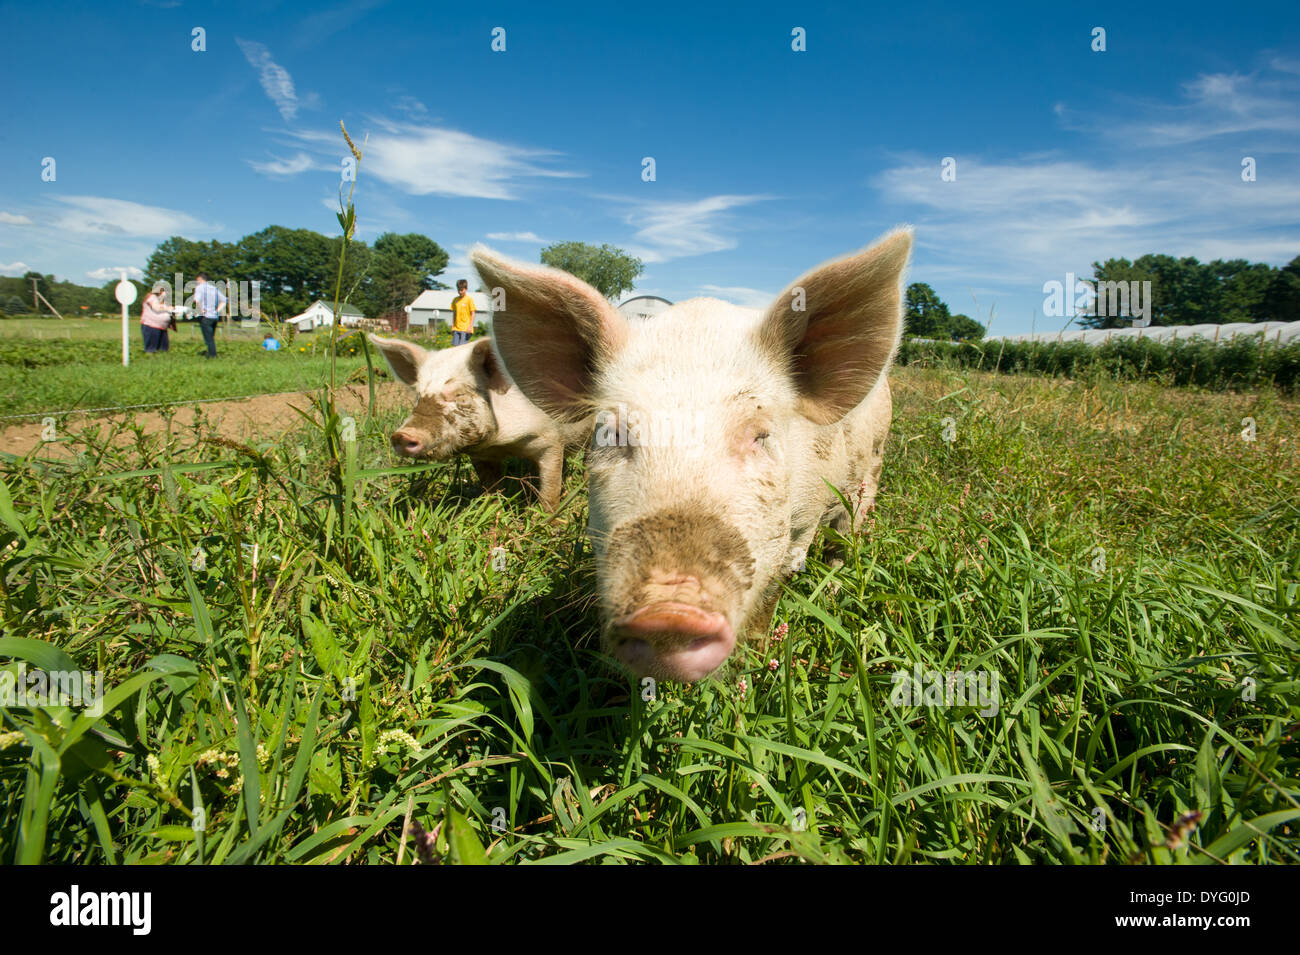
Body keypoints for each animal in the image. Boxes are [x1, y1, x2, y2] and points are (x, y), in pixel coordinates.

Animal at [366, 337, 590, 514]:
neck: (502, 444)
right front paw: (493, 507)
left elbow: (550, 489)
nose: (402, 435)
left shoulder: (550, 438)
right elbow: (491, 485)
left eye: (459, 395)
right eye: (418, 397)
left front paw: (545, 519)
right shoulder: (482, 455)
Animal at [470, 229, 915, 680]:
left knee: (848, 535)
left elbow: (781, 578)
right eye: (611, 433)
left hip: (872, 468)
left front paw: (756, 660)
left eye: (761, 435)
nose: (669, 611)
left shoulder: (804, 516)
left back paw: (837, 588)